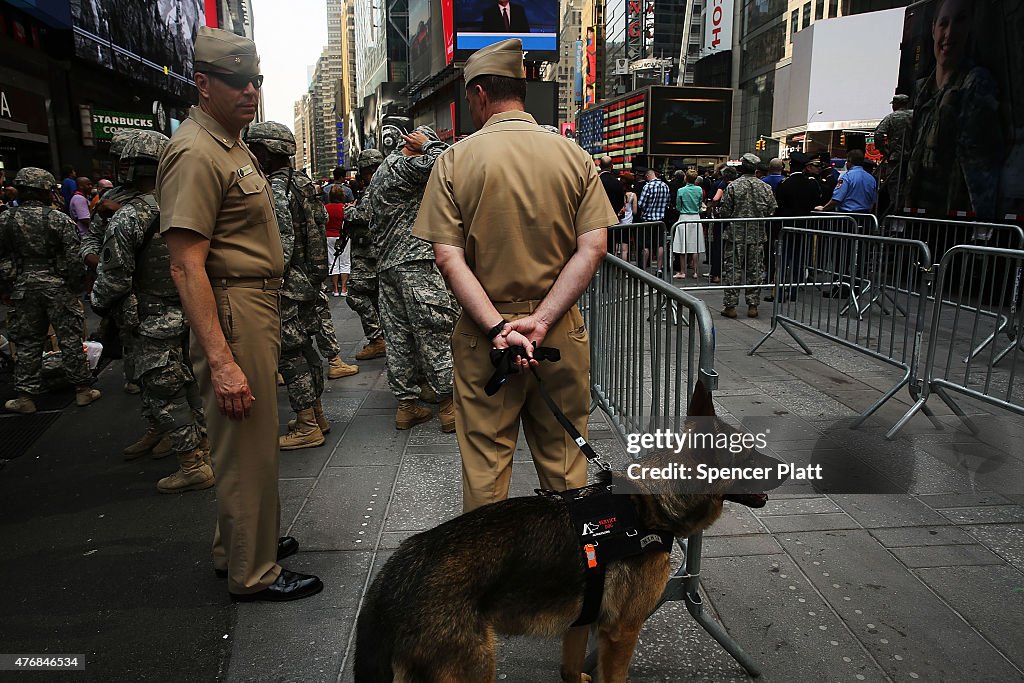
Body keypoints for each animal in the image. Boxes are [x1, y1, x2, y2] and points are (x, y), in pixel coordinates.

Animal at [356, 382, 778, 679]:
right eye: (747, 454)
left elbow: (571, 669)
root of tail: (392, 580)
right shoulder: (622, 632)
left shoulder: (583, 616)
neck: (650, 503)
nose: (787, 469)